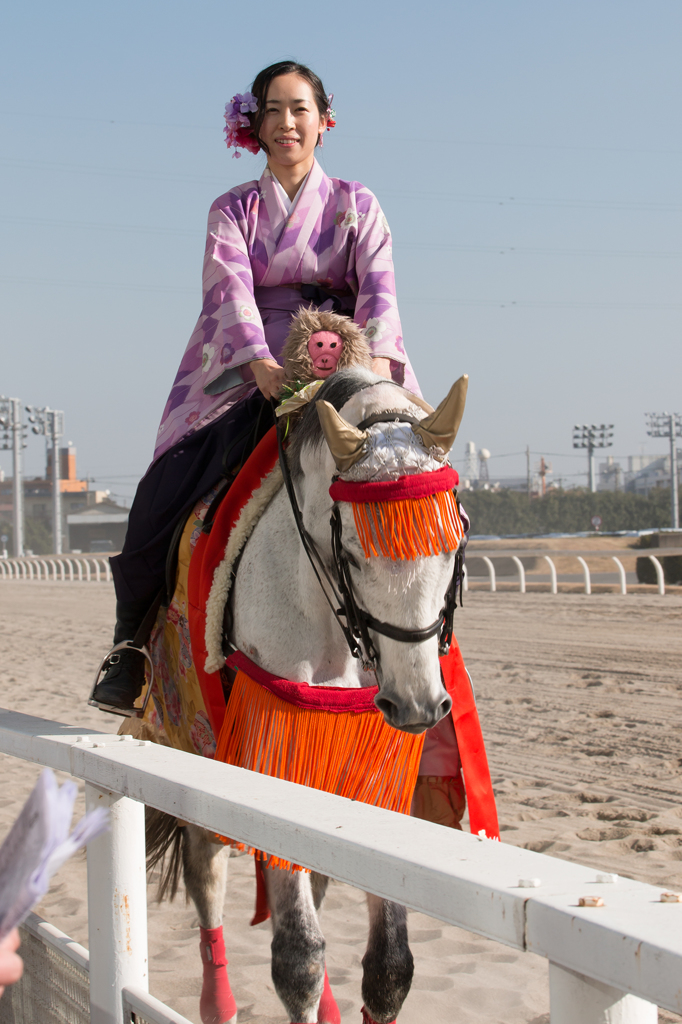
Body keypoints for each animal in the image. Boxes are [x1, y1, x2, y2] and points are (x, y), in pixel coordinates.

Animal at [147, 370, 466, 1024]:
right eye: (354, 555)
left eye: (452, 545)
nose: (418, 704)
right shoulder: (272, 747)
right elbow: (297, 959)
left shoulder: (370, 763)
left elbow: (390, 967)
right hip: (191, 738)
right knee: (205, 868)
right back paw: (217, 1001)